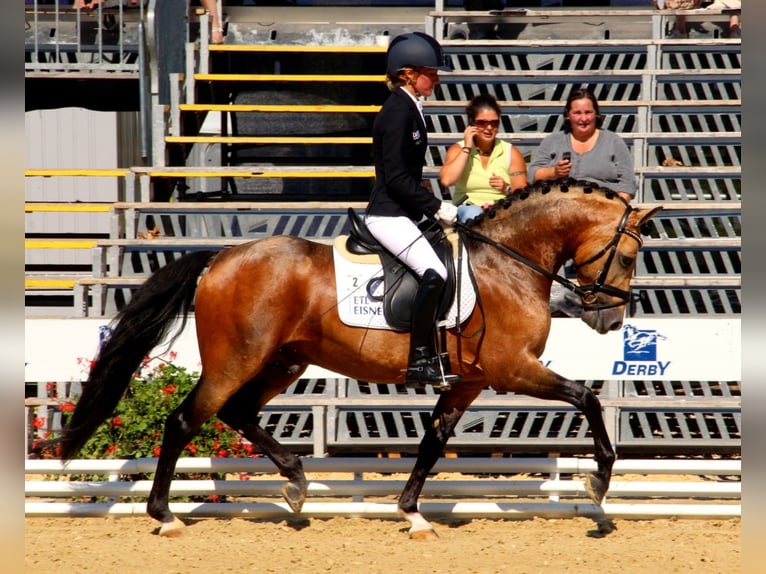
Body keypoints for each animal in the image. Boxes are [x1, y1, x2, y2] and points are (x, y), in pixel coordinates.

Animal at [56, 180, 661, 539]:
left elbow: (433, 443)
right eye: (627, 256)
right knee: (185, 420)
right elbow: (586, 397)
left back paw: (295, 481)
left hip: (284, 361)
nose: (610, 322)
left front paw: (412, 513)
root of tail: (222, 256)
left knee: (237, 412)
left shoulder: (466, 382)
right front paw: (599, 482)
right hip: (237, 359)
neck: (507, 264)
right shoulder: (512, 369)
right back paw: (166, 516)